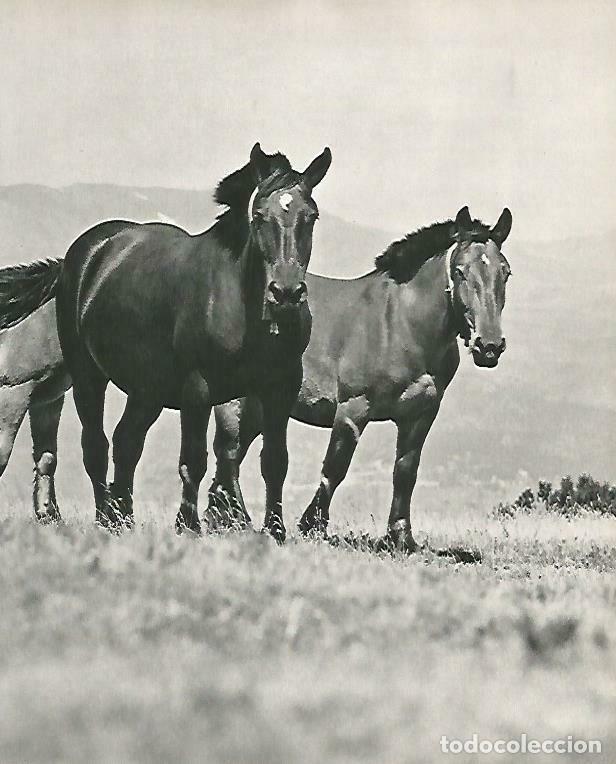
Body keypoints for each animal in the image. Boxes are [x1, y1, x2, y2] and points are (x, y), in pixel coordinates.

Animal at [27, 142, 329, 539]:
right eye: (259, 216)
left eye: (311, 216)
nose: (287, 293)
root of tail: (87, 253)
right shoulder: (196, 389)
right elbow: (193, 461)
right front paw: (188, 526)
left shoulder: (280, 387)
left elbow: (275, 462)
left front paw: (275, 532)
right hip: (88, 375)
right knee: (96, 446)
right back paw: (106, 518)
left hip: (147, 390)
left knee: (126, 442)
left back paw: (123, 517)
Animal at [208, 205, 513, 551]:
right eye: (460, 271)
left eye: (505, 272)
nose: (489, 346)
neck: (403, 324)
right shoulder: (353, 409)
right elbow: (335, 469)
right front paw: (312, 525)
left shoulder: (420, 415)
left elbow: (405, 472)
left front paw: (401, 536)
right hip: (235, 403)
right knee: (228, 453)